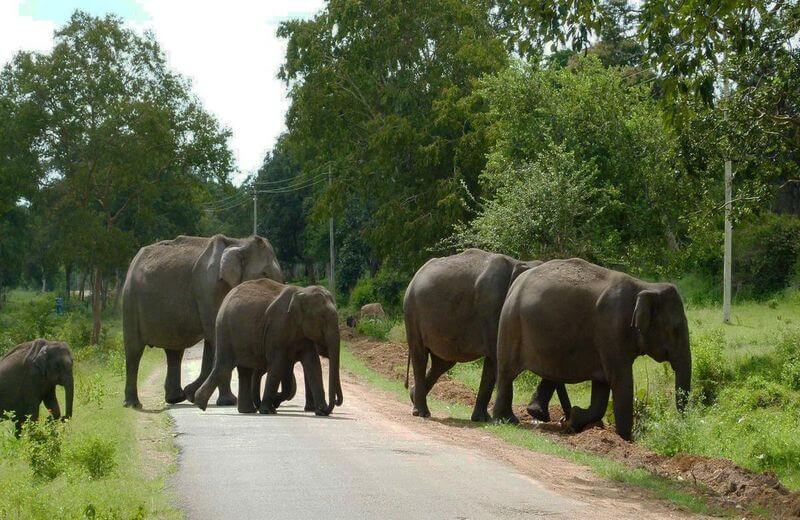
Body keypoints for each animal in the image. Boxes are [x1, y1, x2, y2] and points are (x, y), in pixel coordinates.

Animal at [119, 234, 282, 408]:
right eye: (264, 274)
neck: (239, 242)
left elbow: (213, 340)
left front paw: (192, 394)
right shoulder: (209, 287)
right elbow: (215, 337)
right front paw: (228, 402)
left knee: (175, 350)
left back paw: (176, 398)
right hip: (130, 299)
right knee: (134, 350)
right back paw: (133, 404)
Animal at [197, 278, 344, 416]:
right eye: (323, 318)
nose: (330, 407)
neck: (302, 292)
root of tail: (226, 298)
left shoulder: (302, 332)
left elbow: (313, 364)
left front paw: (320, 412)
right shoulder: (277, 326)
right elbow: (278, 362)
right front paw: (268, 409)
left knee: (244, 371)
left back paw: (247, 410)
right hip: (225, 330)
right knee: (224, 366)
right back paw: (200, 403)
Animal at [406, 248, 568, 422]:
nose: (565, 420)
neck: (520, 263)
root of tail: (415, 276)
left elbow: (493, 363)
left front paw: (482, 419)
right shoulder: (493, 308)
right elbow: (500, 359)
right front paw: (510, 420)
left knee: (442, 363)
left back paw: (413, 396)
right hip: (412, 314)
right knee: (420, 356)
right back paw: (422, 412)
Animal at [490, 258, 692, 440]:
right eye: (675, 329)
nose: (681, 424)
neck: (645, 286)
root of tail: (516, 284)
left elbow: (601, 388)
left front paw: (574, 419)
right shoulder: (612, 329)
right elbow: (621, 380)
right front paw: (625, 439)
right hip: (511, 325)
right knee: (507, 372)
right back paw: (507, 420)